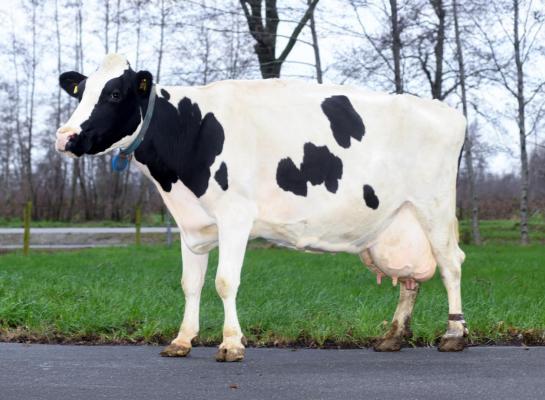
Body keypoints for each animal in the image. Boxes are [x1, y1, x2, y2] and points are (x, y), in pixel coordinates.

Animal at [56, 54, 468, 362]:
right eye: (81, 92)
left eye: (114, 94)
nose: (65, 137)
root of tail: (446, 111)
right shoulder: (192, 224)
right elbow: (191, 283)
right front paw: (182, 340)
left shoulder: (235, 216)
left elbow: (225, 281)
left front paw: (231, 343)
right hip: (400, 222)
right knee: (411, 280)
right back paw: (393, 336)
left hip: (434, 206)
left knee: (450, 265)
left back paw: (454, 333)